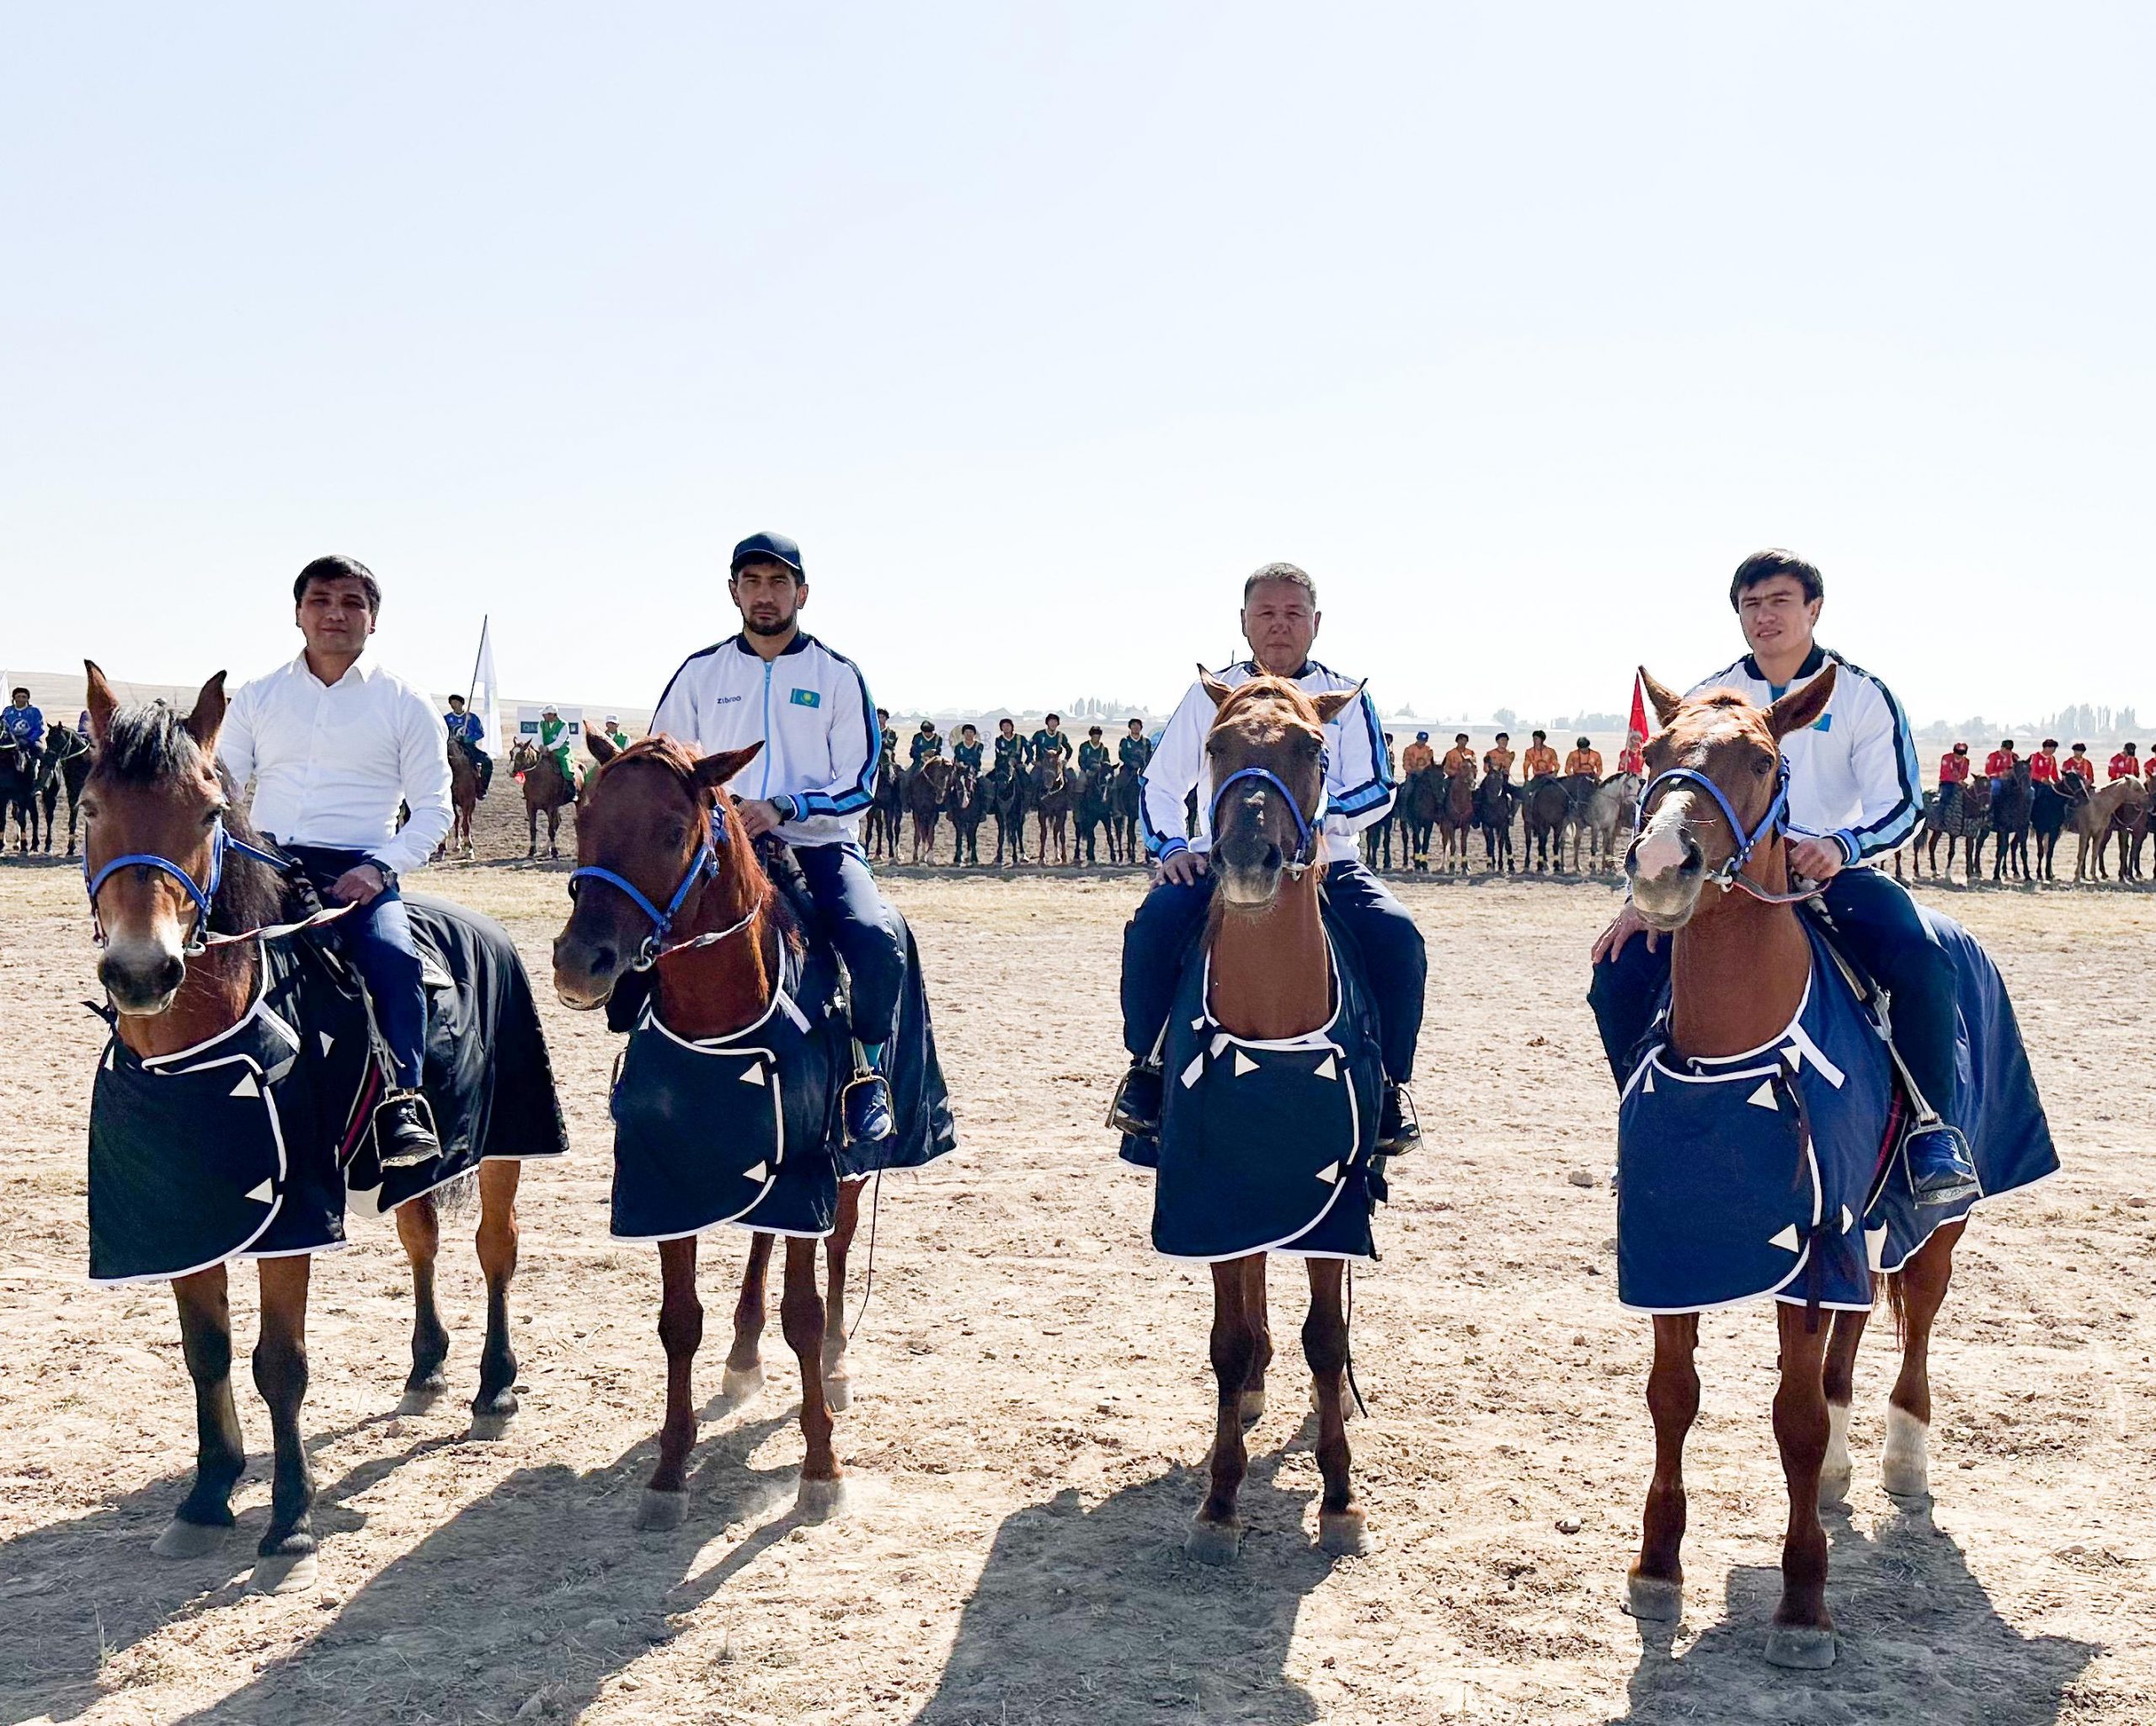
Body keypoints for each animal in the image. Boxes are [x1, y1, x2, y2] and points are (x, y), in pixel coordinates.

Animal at [79, 668, 543, 1596]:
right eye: (89, 805)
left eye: (210, 813)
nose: (143, 970)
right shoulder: (189, 1216)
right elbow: (207, 1354)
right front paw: (208, 1496)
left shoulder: (288, 1222)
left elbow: (278, 1364)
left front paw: (290, 1521)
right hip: (408, 1171)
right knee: (422, 1240)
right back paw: (427, 1368)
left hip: (506, 1146)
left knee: (494, 1252)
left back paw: (493, 1389)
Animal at [552, 729, 862, 1527]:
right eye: (584, 816)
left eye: (672, 831)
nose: (580, 962)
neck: (722, 1017)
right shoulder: (662, 1183)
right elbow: (679, 1320)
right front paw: (669, 1467)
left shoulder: (807, 1175)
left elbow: (804, 1314)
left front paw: (821, 1464)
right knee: (758, 1244)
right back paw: (744, 1356)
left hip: (853, 1163)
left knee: (839, 1250)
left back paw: (838, 1364)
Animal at [1621, 668, 2052, 1665]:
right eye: (1655, 752)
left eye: (1762, 759)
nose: (1660, 864)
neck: (1738, 1042)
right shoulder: (1682, 1244)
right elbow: (1674, 1397)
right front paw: (1658, 1567)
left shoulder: (1814, 1249)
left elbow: (1795, 1417)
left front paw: (1803, 1603)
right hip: (1859, 1221)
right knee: (1852, 1341)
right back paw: (1841, 1471)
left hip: (1932, 1221)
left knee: (1917, 1319)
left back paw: (1901, 1457)